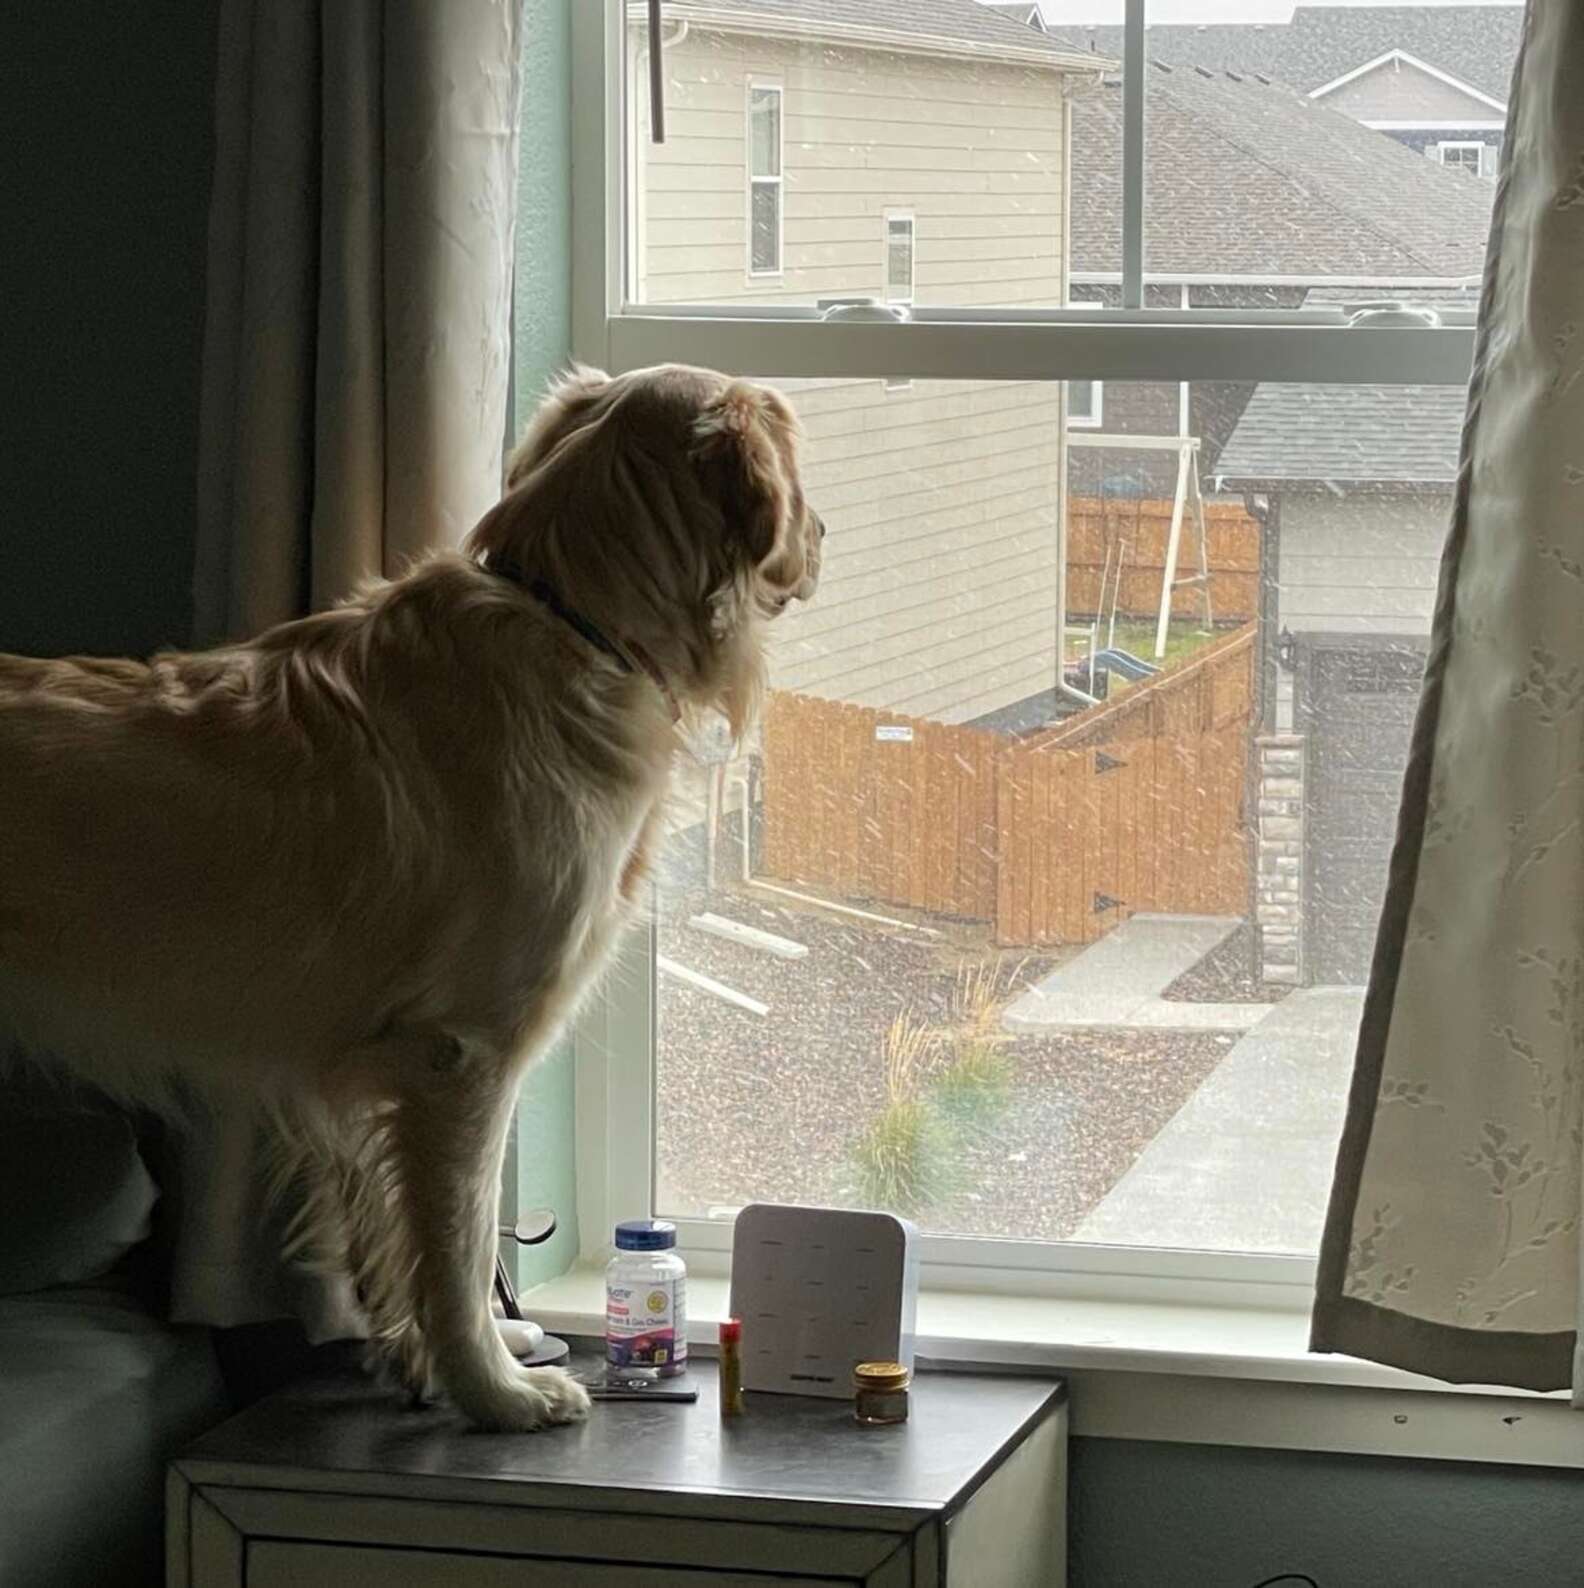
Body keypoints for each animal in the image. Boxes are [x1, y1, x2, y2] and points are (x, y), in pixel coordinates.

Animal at [0, 365, 813, 1435]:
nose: (823, 533)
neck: (572, 621)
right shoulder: (461, 1053)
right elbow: (459, 1244)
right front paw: (495, 1388)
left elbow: (408, 1239)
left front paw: (450, 1358)